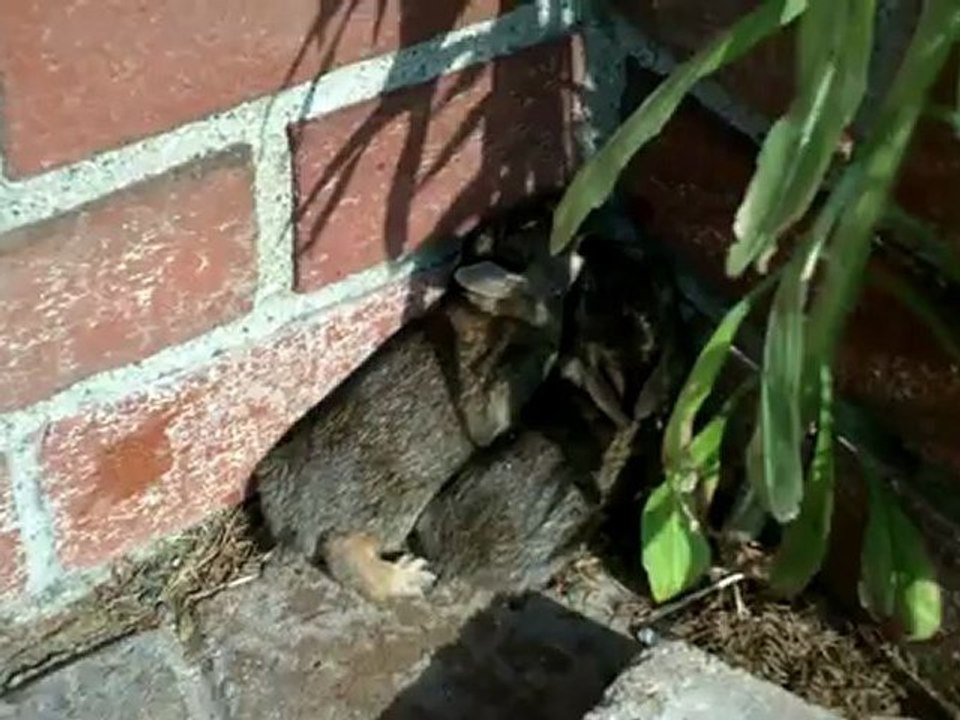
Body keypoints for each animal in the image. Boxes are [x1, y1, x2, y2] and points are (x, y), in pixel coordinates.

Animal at [251, 201, 584, 603]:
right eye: (543, 229)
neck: (497, 309)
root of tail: (296, 523)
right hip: (389, 507)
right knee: (346, 553)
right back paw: (407, 578)